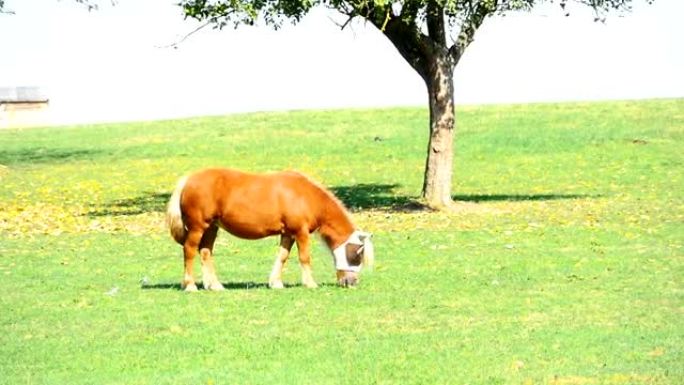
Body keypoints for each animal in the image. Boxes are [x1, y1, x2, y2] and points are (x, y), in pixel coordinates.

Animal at [168, 168, 376, 292]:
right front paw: (310, 283)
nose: (352, 282)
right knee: (189, 250)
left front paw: (276, 282)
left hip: (211, 228)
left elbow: (282, 256)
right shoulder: (300, 232)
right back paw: (190, 285)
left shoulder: (288, 233)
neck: (304, 196)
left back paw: (214, 285)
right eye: (357, 254)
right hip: (198, 227)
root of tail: (188, 180)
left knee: (205, 252)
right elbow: (304, 257)